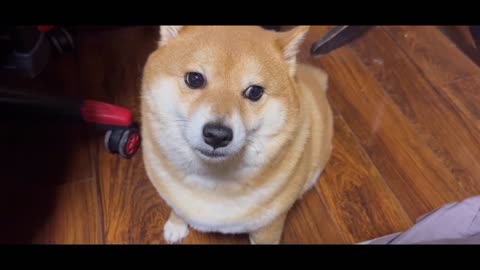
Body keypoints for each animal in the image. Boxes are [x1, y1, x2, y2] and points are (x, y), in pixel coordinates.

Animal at [141, 25, 332, 245]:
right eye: (195, 79)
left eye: (255, 92)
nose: (217, 135)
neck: (213, 181)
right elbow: (176, 207)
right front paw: (176, 224)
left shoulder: (268, 228)